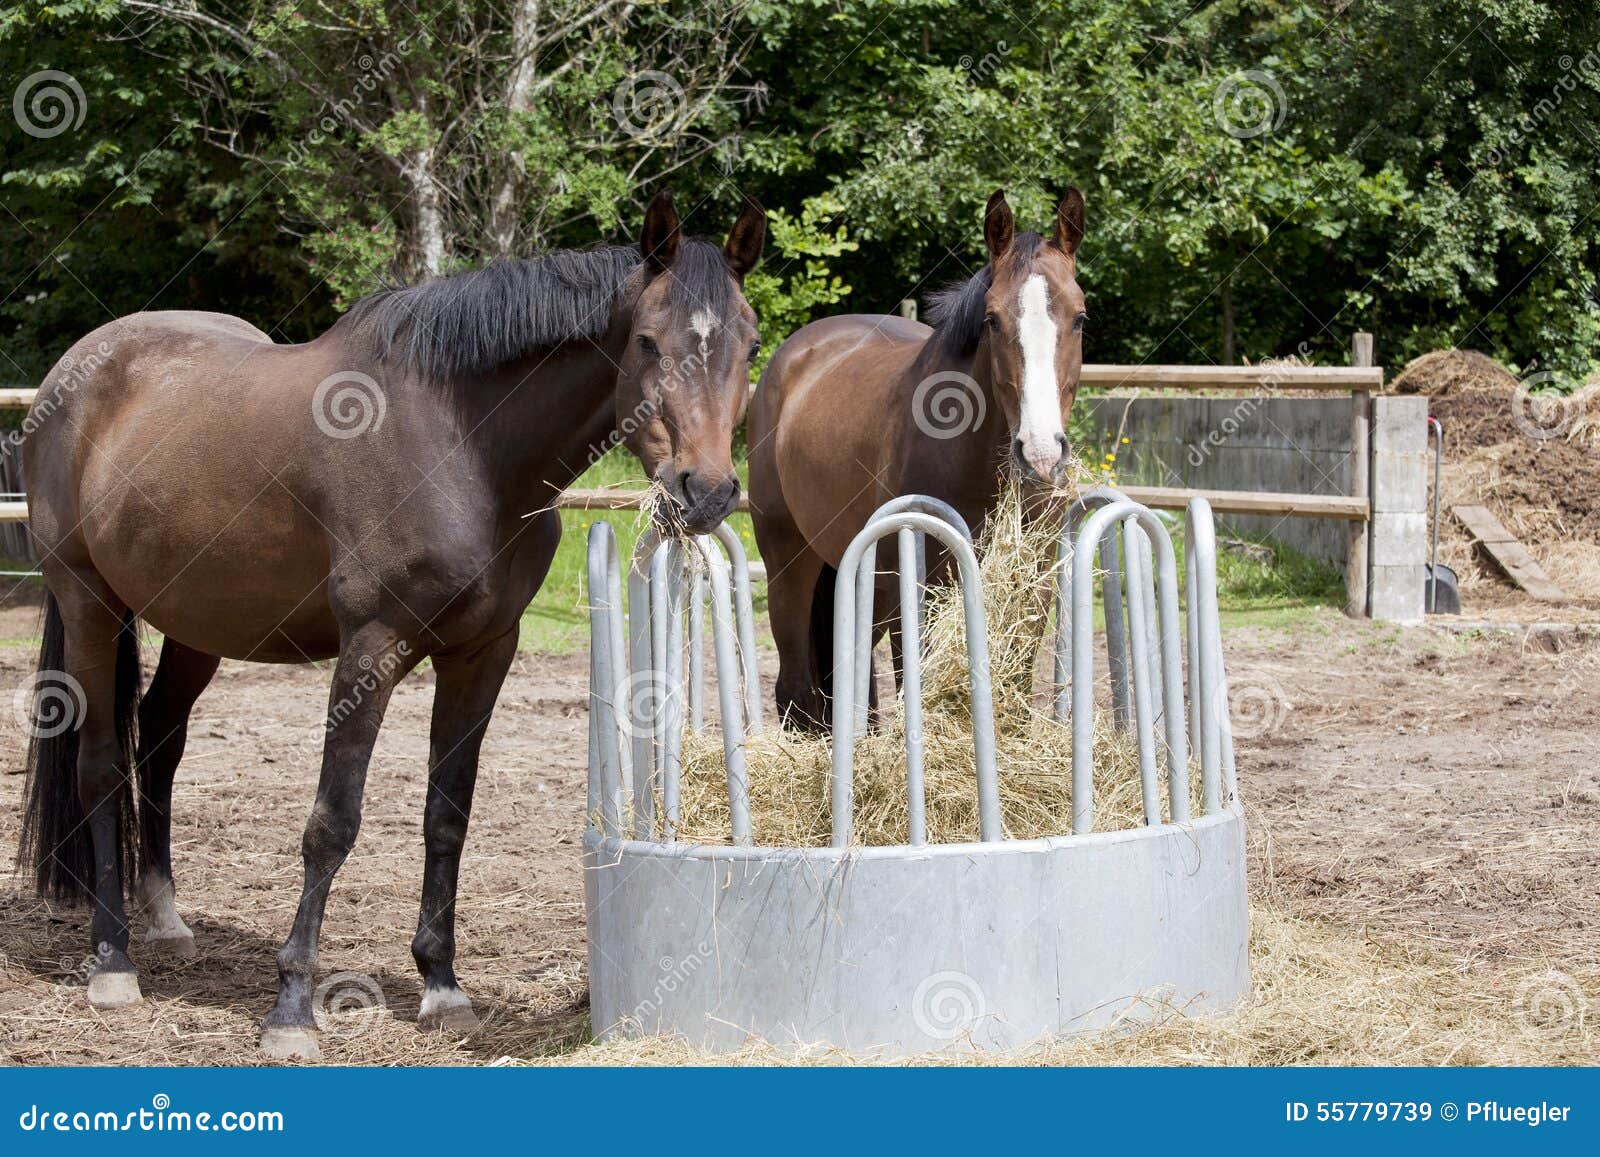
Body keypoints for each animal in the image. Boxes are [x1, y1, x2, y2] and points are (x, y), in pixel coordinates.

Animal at [16, 190, 765, 1058]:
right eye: (647, 340)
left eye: (748, 343)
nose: (706, 489)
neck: (461, 443)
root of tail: (75, 374)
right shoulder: (370, 648)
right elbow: (332, 822)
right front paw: (292, 1009)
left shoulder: (483, 653)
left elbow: (448, 816)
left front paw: (442, 984)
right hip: (87, 601)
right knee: (101, 764)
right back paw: (113, 961)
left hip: (196, 623)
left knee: (159, 740)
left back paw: (166, 920)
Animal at [747, 188, 1085, 730]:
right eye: (993, 319)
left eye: (1079, 317)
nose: (1040, 455)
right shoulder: (916, 588)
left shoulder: (1029, 586)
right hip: (789, 563)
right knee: (796, 689)